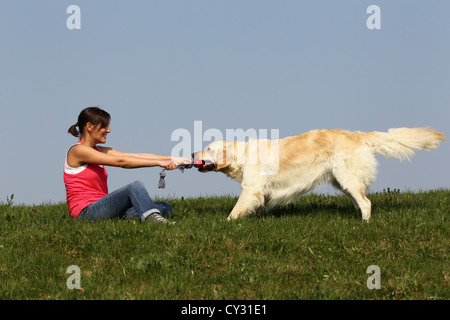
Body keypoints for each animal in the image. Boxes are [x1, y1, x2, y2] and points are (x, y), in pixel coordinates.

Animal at [192, 127, 444, 220]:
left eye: (209, 148)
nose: (193, 152)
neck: (244, 155)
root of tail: (357, 134)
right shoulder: (261, 192)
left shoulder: (251, 188)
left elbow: (235, 211)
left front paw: (227, 223)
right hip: (342, 181)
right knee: (359, 200)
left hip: (346, 177)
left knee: (366, 202)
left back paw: (365, 223)